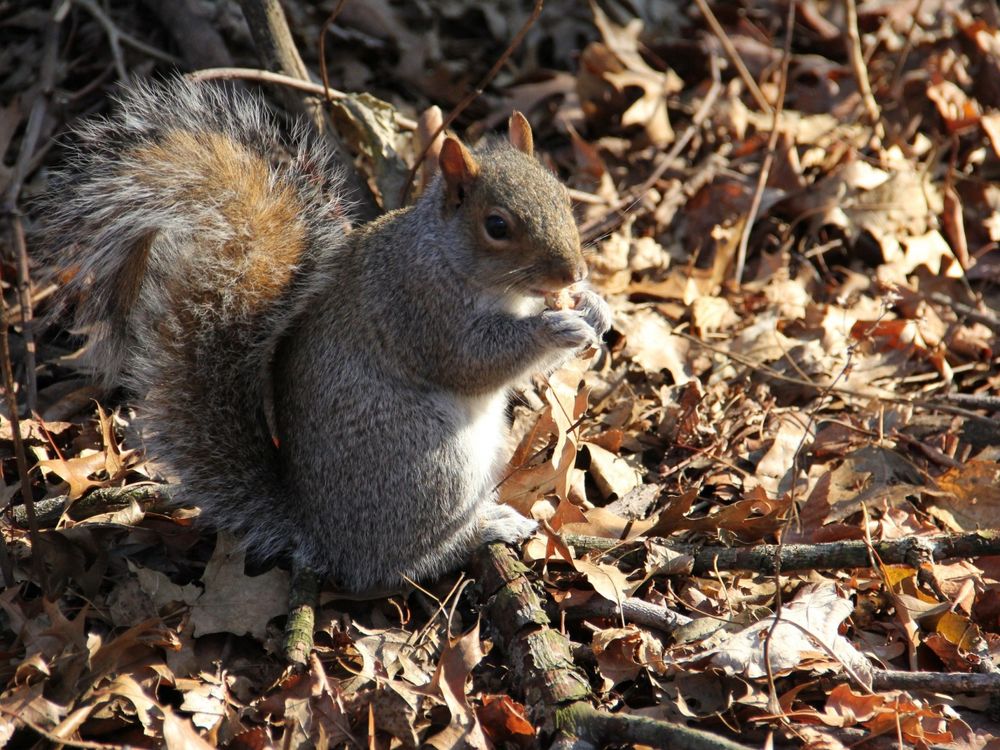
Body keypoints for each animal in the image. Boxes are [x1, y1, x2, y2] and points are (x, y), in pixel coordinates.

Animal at [44, 78, 611, 591]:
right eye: (496, 226)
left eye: (563, 195)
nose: (574, 272)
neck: (450, 258)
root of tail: (324, 535)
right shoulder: (421, 308)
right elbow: (474, 361)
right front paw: (554, 326)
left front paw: (595, 308)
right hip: (428, 467)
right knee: (402, 563)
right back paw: (483, 531)